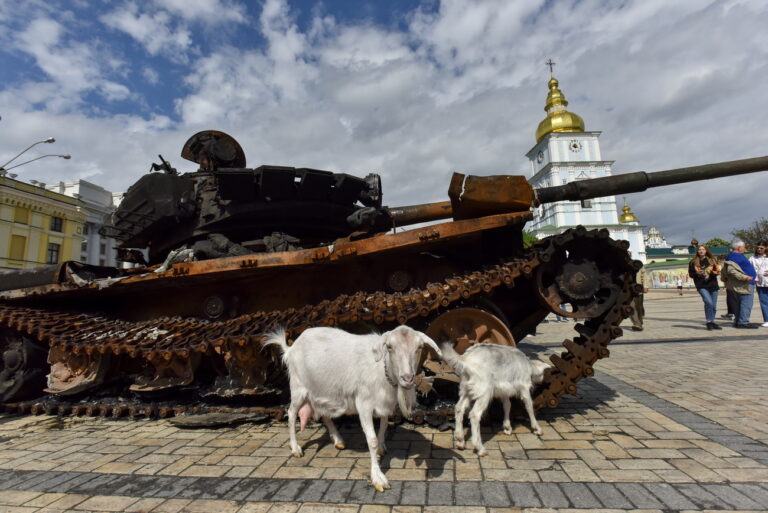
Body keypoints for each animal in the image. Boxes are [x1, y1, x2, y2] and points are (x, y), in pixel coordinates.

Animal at [266, 326, 440, 490]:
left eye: (419, 347)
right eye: (390, 347)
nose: (407, 378)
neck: (381, 371)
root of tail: (291, 348)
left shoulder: (384, 404)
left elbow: (384, 426)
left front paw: (381, 447)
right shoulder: (364, 404)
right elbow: (372, 440)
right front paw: (378, 478)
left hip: (322, 390)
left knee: (324, 413)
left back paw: (338, 440)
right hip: (298, 387)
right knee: (291, 413)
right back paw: (295, 448)